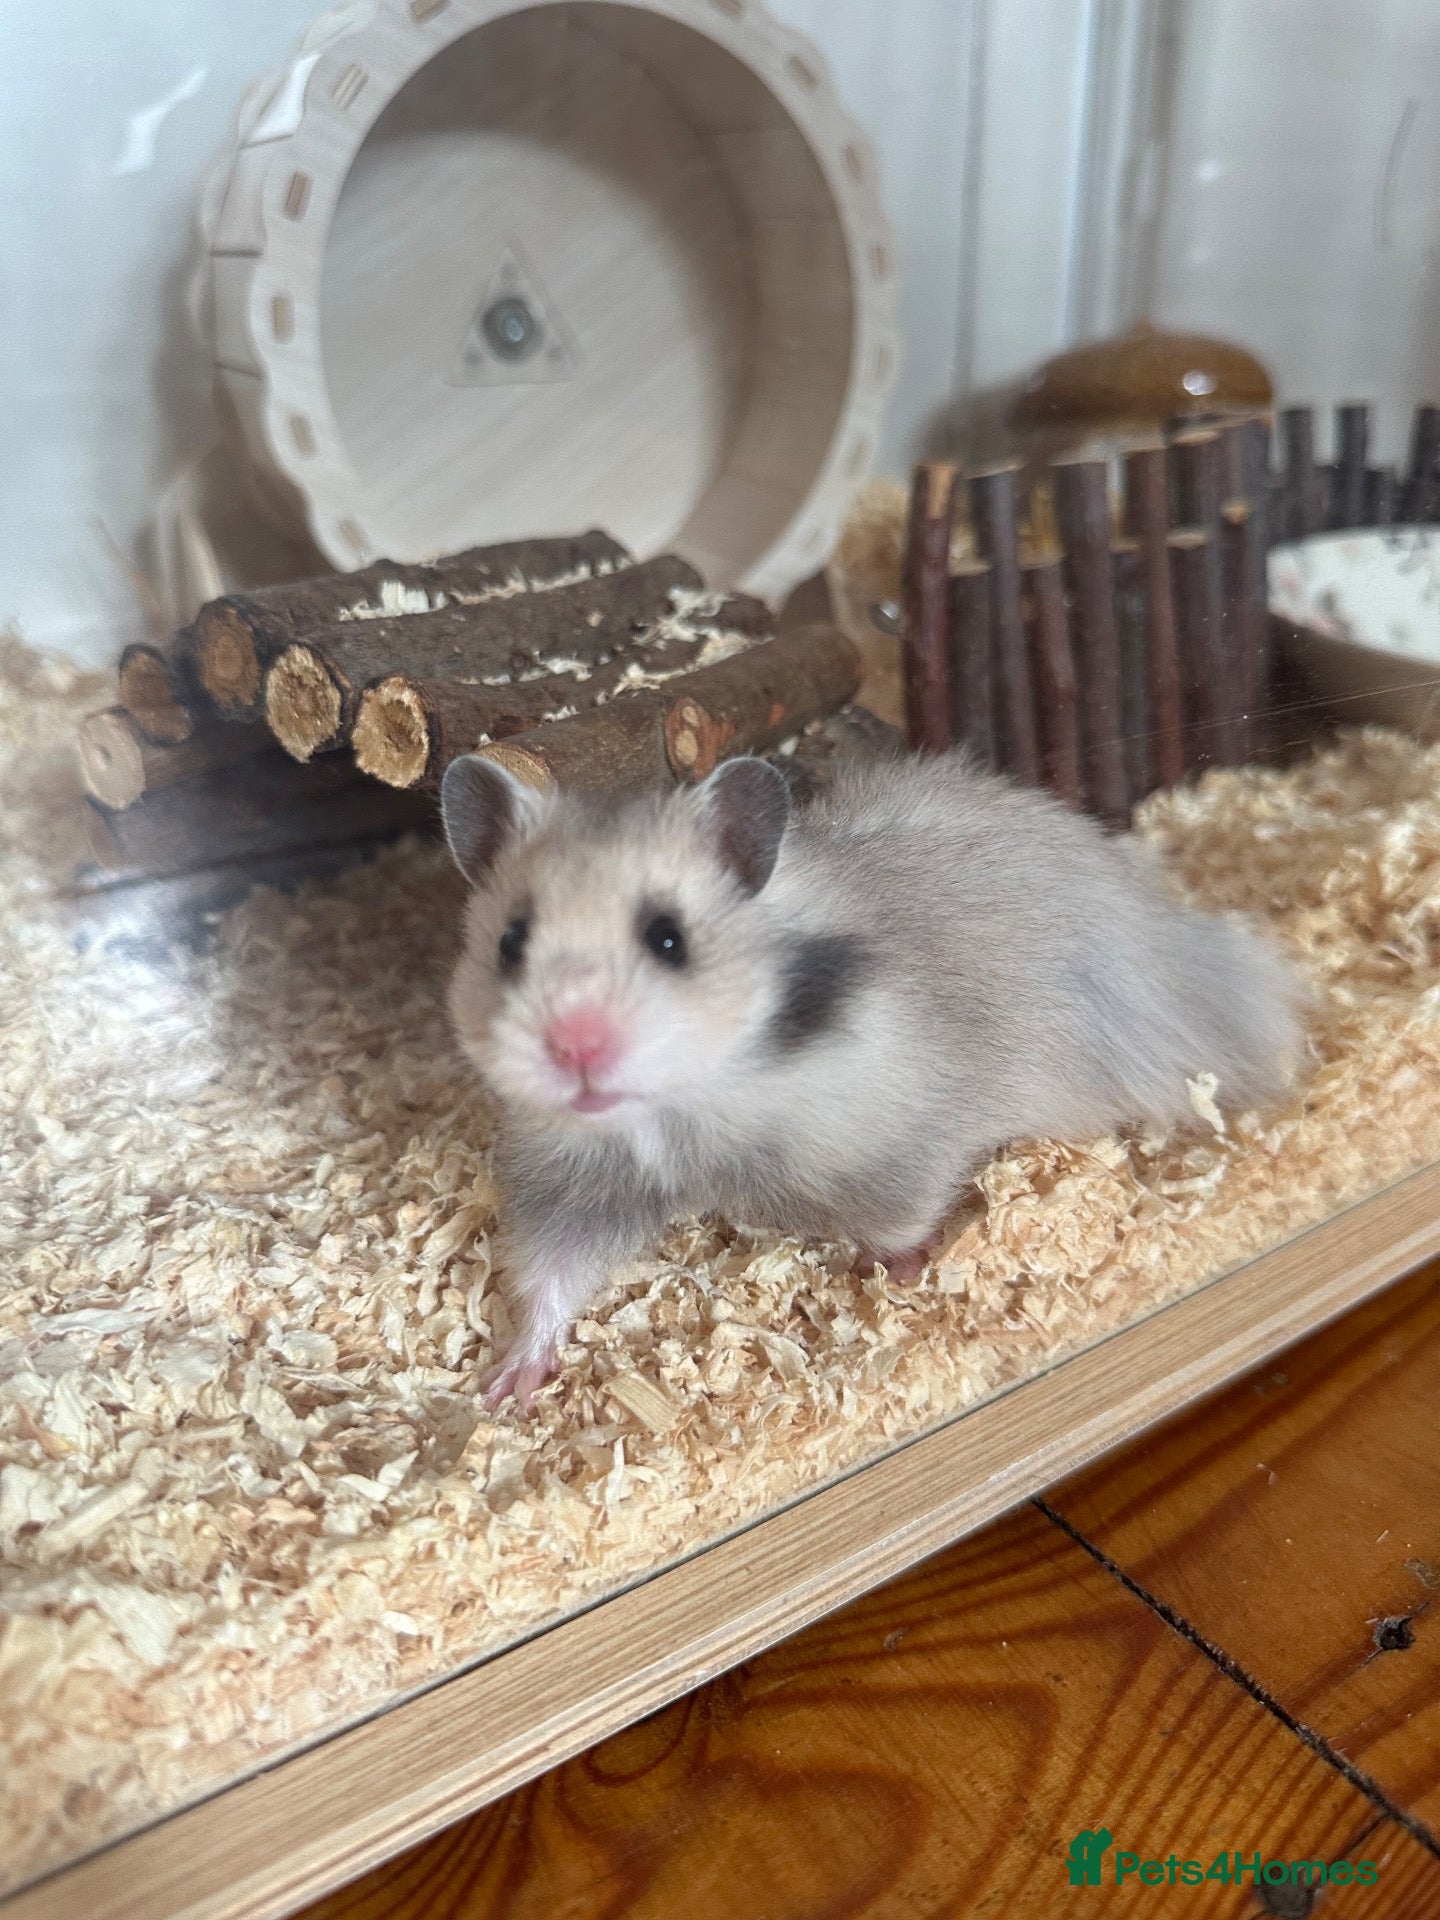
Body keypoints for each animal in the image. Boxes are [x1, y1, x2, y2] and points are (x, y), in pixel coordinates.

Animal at [441, 749, 1302, 1409]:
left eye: (668, 938)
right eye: (511, 942)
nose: (574, 1049)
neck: (682, 1108)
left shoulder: (898, 1145)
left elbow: (898, 1222)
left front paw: (893, 1276)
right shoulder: (575, 1180)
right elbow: (550, 1276)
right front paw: (505, 1391)